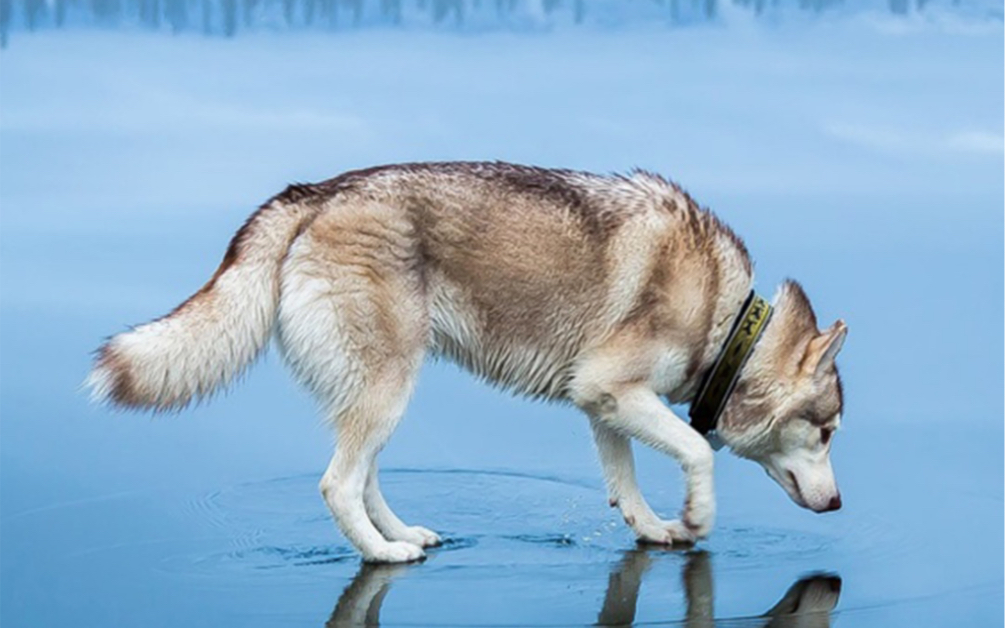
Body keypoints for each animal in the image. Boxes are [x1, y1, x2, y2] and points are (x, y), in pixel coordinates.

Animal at [88, 161, 848, 562]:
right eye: (827, 432)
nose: (840, 504)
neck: (728, 324)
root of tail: (318, 191)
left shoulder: (601, 402)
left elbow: (625, 484)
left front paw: (655, 528)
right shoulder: (615, 392)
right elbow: (695, 452)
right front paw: (695, 518)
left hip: (383, 394)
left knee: (363, 479)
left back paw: (405, 536)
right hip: (388, 388)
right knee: (338, 484)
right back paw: (382, 553)